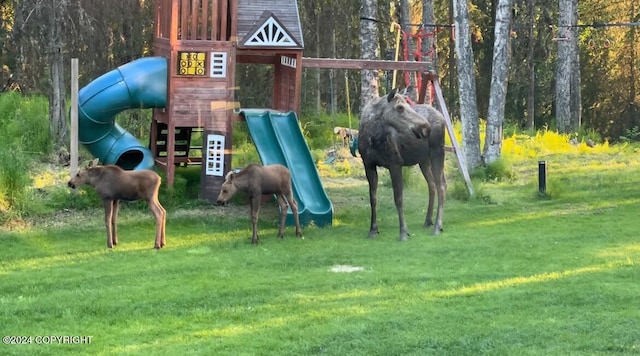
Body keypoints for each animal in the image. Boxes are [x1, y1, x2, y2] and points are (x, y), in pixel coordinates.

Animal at [358, 89, 448, 241]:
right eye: (400, 107)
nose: (426, 127)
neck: (372, 137)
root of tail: (442, 118)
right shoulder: (368, 165)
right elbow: (373, 199)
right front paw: (373, 230)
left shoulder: (395, 163)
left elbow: (398, 199)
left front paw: (403, 232)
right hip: (423, 160)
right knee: (432, 185)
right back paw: (428, 221)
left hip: (437, 152)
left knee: (441, 186)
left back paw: (437, 226)